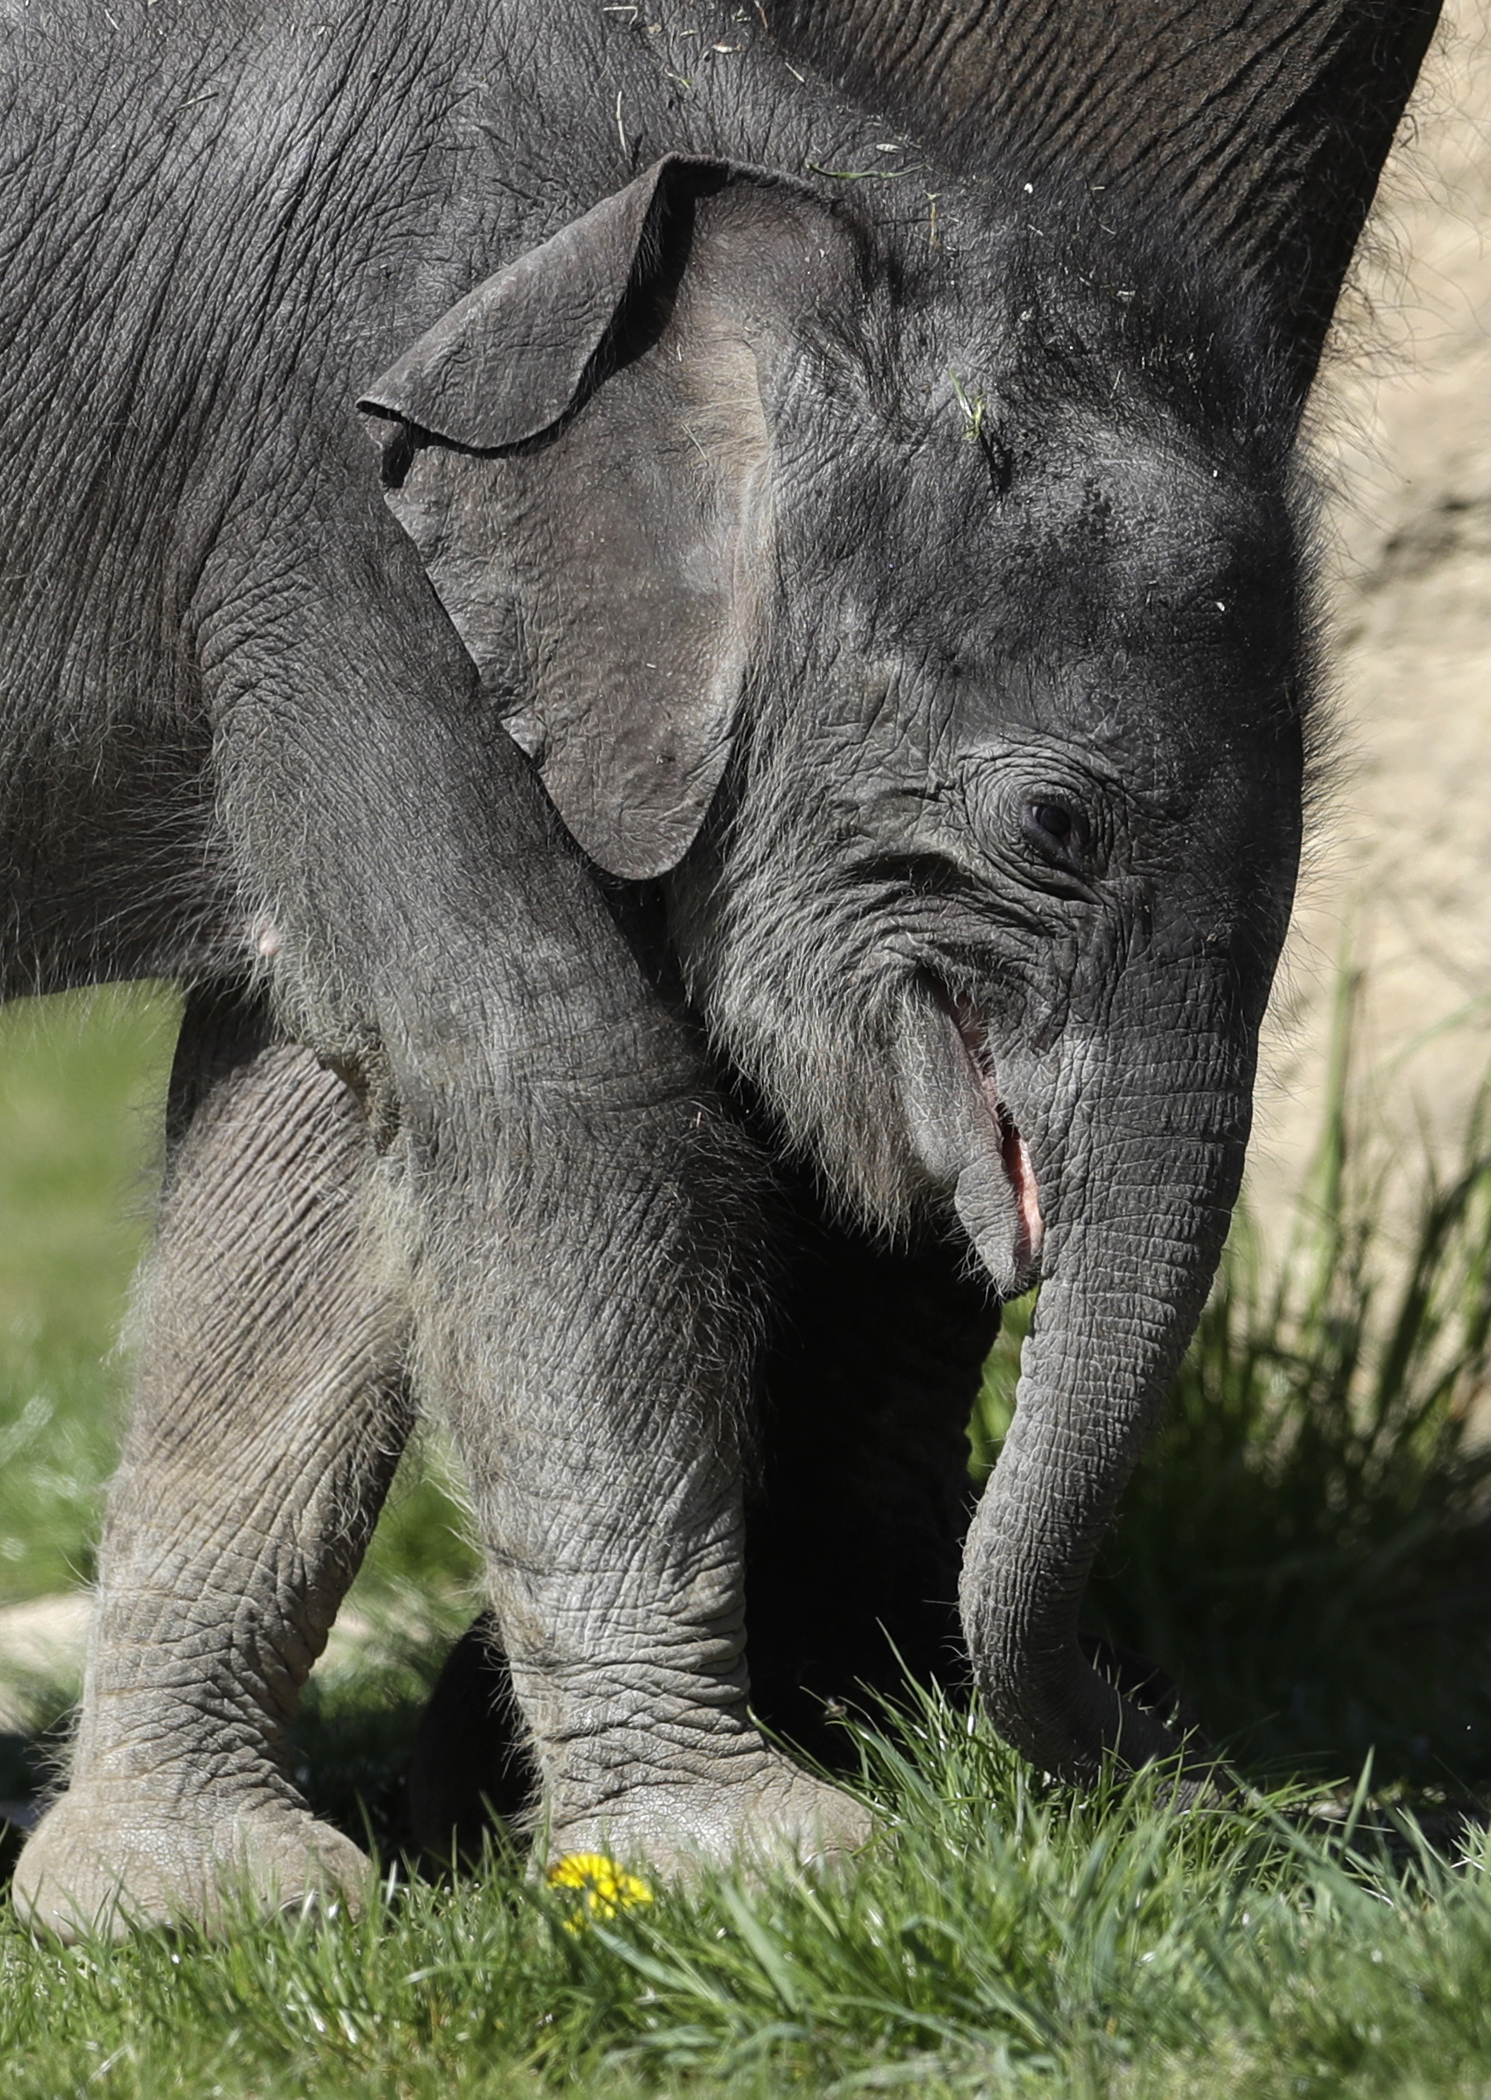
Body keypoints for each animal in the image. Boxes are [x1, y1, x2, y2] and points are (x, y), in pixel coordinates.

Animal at [0, 0, 1436, 1931]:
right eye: (1056, 826)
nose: (1218, 1791)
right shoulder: (338, 522)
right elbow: (553, 1082)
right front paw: (758, 1866)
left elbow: (307, 1151)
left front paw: (196, 1904)